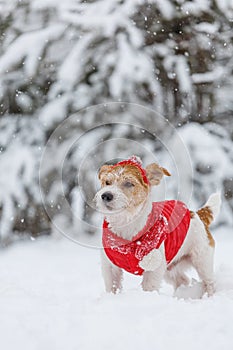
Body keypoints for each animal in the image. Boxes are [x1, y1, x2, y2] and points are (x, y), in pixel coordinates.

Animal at [94, 156, 220, 296]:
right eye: (107, 182)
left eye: (128, 183)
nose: (106, 195)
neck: (126, 223)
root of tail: (197, 214)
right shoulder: (110, 266)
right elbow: (112, 286)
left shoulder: (154, 267)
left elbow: (149, 286)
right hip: (170, 267)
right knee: (183, 280)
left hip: (202, 260)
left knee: (209, 282)